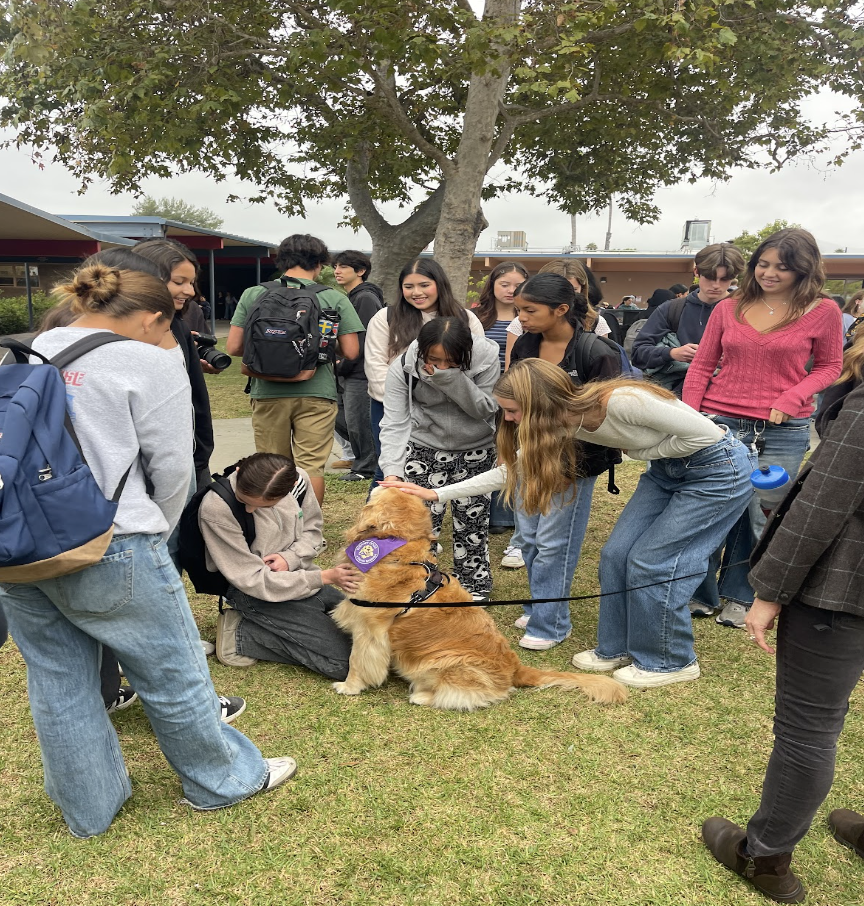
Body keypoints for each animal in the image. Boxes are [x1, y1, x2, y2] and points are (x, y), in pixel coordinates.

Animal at [328, 488, 624, 708]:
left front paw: (349, 686)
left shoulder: (367, 629)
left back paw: (421, 695)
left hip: (441, 661)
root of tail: (515, 667)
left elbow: (357, 661)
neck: (396, 548)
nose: (392, 477)